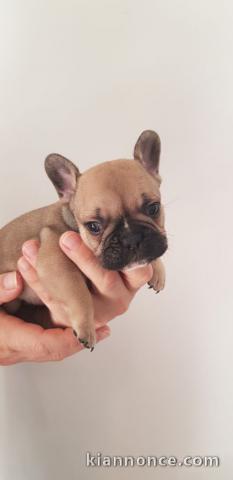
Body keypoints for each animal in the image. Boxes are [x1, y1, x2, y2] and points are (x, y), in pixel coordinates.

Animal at [0, 130, 167, 348]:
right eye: (94, 226)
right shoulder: (55, 261)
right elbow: (78, 292)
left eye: (153, 208)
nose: (132, 238)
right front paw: (86, 327)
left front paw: (158, 269)